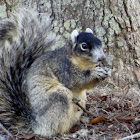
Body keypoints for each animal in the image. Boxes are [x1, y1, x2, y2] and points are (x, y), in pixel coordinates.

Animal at [0, 8, 111, 137]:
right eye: (84, 46)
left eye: (99, 41)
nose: (102, 58)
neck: (84, 64)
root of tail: (36, 125)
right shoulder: (62, 67)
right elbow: (75, 80)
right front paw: (95, 72)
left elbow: (87, 85)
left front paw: (107, 71)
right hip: (59, 98)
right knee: (55, 128)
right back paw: (68, 134)